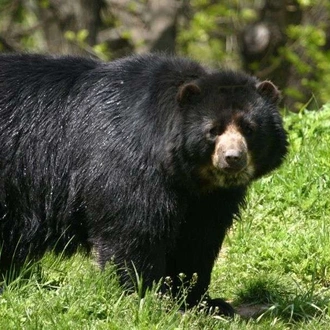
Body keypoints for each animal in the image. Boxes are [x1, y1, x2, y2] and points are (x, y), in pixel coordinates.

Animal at [0, 52, 286, 316]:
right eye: (213, 131)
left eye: (249, 129)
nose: (232, 158)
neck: (188, 174)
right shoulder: (127, 165)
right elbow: (134, 231)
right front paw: (146, 297)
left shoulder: (209, 198)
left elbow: (198, 238)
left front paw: (204, 302)